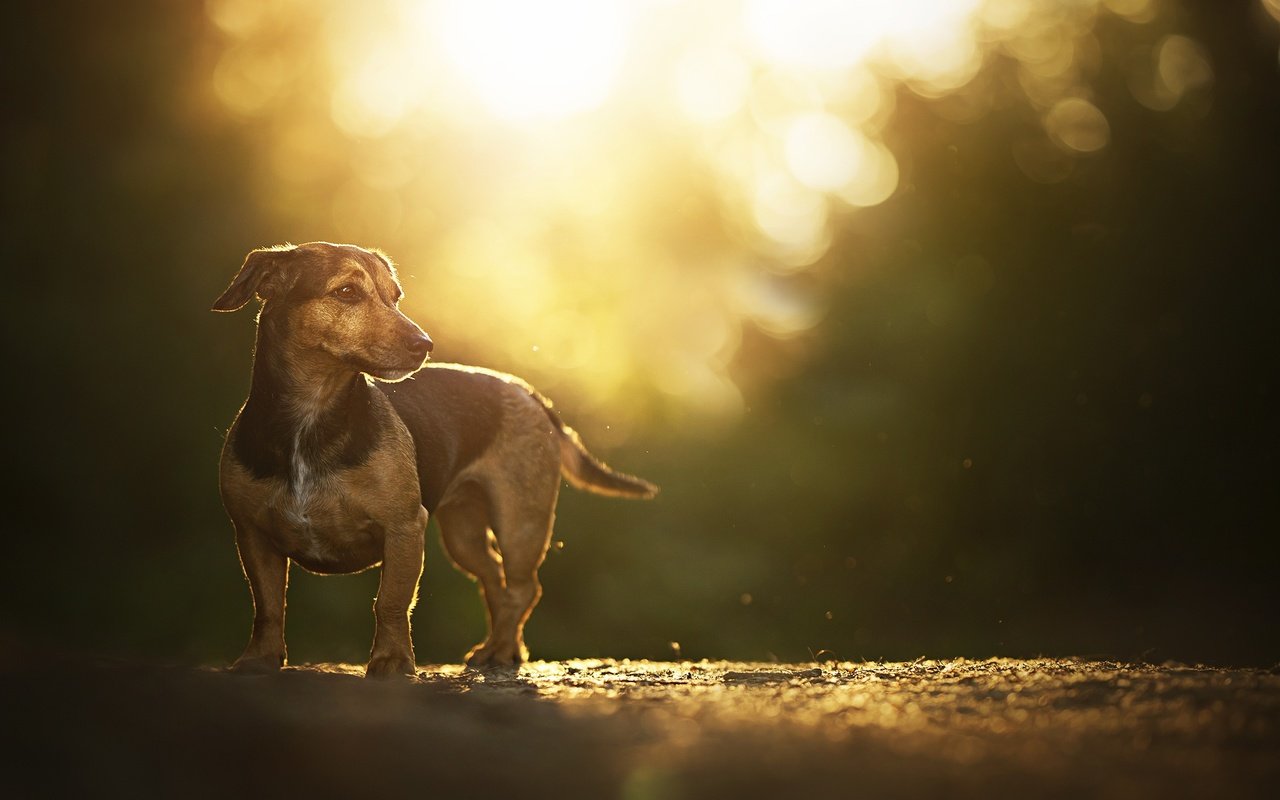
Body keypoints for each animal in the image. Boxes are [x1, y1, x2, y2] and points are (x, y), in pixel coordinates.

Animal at [213, 241, 655, 675]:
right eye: (347, 292)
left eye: (395, 297)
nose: (423, 344)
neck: (312, 420)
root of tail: (527, 391)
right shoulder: (251, 534)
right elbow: (268, 605)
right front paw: (259, 659)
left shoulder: (405, 528)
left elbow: (390, 603)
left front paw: (392, 662)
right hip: (464, 532)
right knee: (495, 580)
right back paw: (502, 648)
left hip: (521, 521)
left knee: (523, 587)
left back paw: (500, 650)